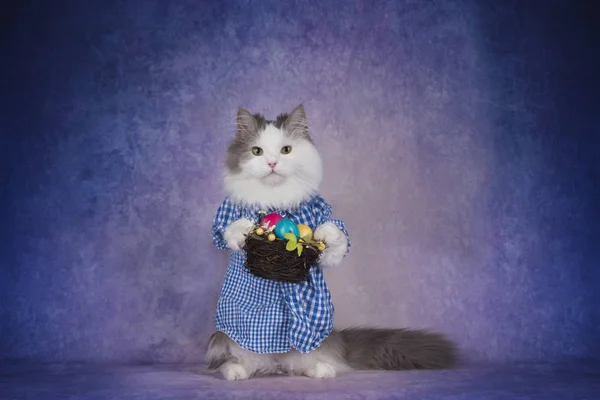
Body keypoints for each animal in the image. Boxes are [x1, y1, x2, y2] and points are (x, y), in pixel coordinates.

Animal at [204, 104, 458, 380]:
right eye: (256, 151)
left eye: (286, 150)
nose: (272, 163)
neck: (278, 200)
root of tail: (277, 359)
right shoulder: (226, 214)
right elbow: (227, 229)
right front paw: (241, 230)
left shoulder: (322, 216)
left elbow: (333, 235)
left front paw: (326, 235)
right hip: (232, 335)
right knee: (245, 358)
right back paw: (237, 370)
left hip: (316, 339)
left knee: (309, 360)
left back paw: (320, 369)